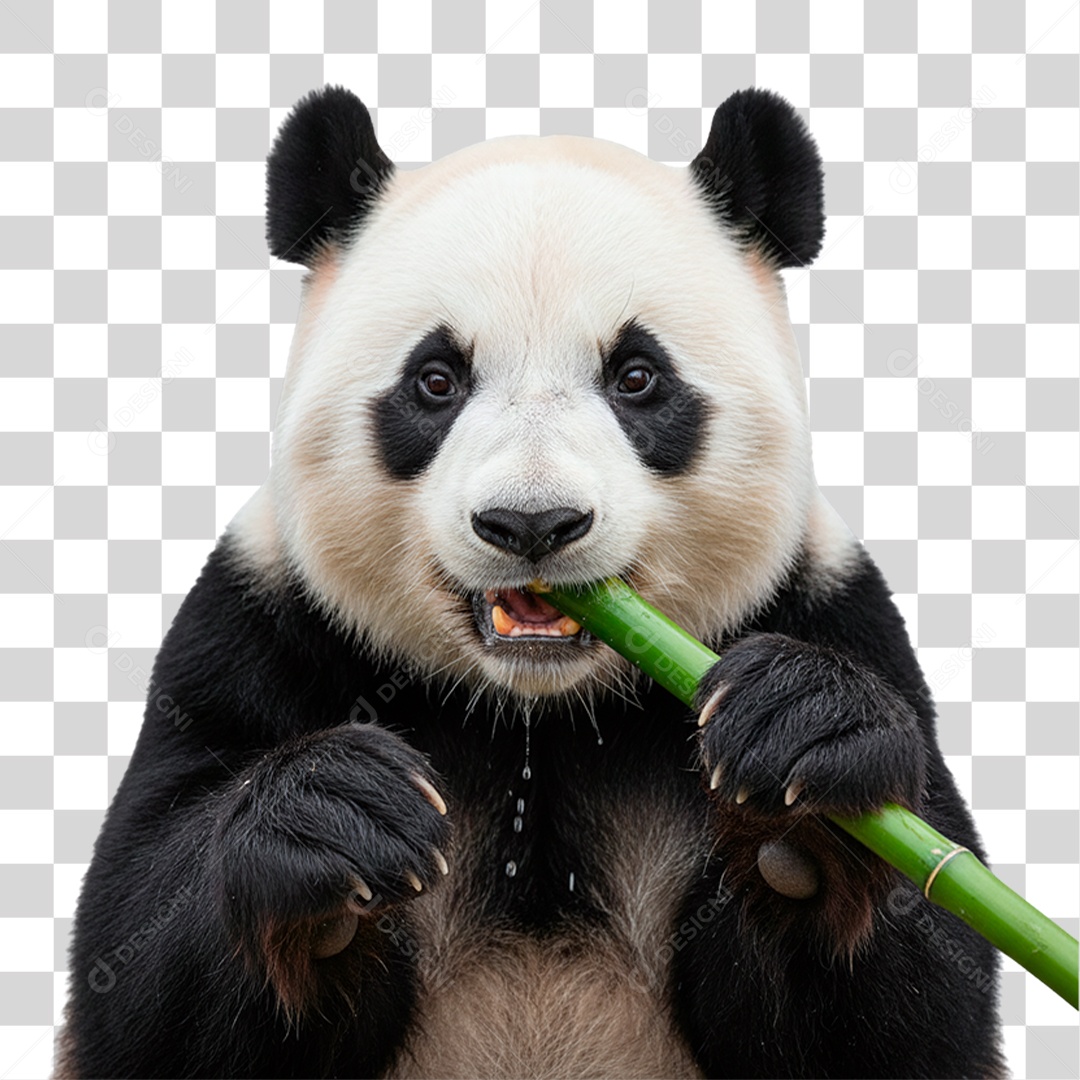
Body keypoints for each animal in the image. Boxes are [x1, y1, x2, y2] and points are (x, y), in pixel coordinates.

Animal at [60, 86, 1003, 1079]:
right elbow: (139, 970)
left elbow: (919, 1006)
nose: (532, 524)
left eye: (637, 376)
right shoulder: (258, 629)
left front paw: (804, 768)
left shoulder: (832, 608)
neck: (534, 714)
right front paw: (333, 818)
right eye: (436, 379)